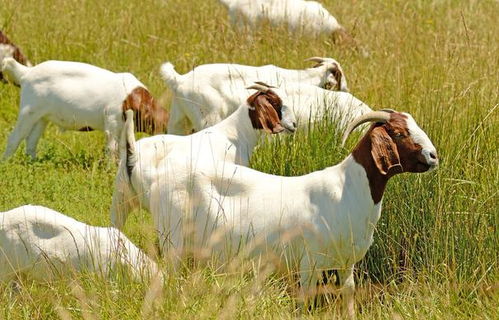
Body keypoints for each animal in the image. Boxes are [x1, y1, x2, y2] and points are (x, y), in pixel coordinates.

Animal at [0, 57, 169, 160]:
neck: (131, 97)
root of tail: (27, 73)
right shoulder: (112, 121)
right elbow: (112, 147)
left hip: (42, 117)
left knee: (31, 140)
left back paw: (33, 162)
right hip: (28, 110)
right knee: (15, 137)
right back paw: (6, 163)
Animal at [123, 109, 440, 316]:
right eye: (398, 132)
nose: (434, 156)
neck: (347, 190)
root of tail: (158, 178)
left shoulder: (346, 261)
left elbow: (348, 294)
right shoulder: (309, 261)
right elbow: (305, 301)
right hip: (173, 240)